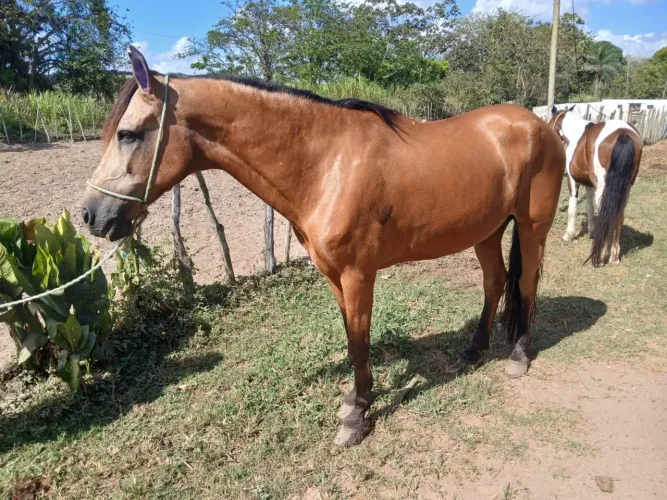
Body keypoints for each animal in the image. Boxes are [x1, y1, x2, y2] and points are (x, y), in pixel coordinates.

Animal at [81, 46, 566, 446]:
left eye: (128, 134)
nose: (91, 215)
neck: (327, 163)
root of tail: (540, 125)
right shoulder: (334, 276)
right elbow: (352, 339)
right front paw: (356, 401)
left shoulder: (357, 275)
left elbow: (359, 342)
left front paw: (357, 418)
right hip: (486, 231)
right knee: (495, 282)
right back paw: (472, 351)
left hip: (531, 227)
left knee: (525, 283)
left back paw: (518, 355)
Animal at [549, 105, 643, 266]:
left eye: (550, 121)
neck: (577, 134)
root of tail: (624, 133)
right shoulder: (589, 185)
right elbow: (589, 208)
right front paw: (592, 232)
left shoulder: (572, 181)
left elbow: (573, 208)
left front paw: (568, 235)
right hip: (625, 189)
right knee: (618, 216)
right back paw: (613, 256)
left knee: (608, 215)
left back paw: (600, 256)